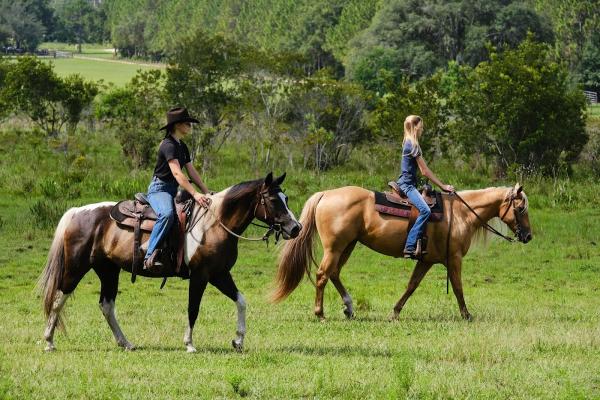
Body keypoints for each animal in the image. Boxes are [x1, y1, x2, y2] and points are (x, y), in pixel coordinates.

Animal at [38, 173, 300, 352]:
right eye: (274, 200)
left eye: (285, 198)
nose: (295, 228)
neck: (213, 224)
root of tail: (76, 212)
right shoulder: (201, 275)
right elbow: (193, 308)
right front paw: (189, 344)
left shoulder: (219, 274)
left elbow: (241, 301)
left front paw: (238, 340)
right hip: (76, 267)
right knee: (59, 299)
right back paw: (49, 341)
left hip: (108, 270)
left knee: (106, 305)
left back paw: (126, 343)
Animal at [270, 183, 528, 320]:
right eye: (521, 208)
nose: (528, 236)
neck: (461, 215)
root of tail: (325, 194)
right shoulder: (453, 258)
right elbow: (457, 287)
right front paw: (467, 315)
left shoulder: (427, 261)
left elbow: (412, 285)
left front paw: (395, 312)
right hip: (335, 247)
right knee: (323, 275)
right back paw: (320, 313)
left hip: (348, 246)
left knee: (333, 273)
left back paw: (349, 308)